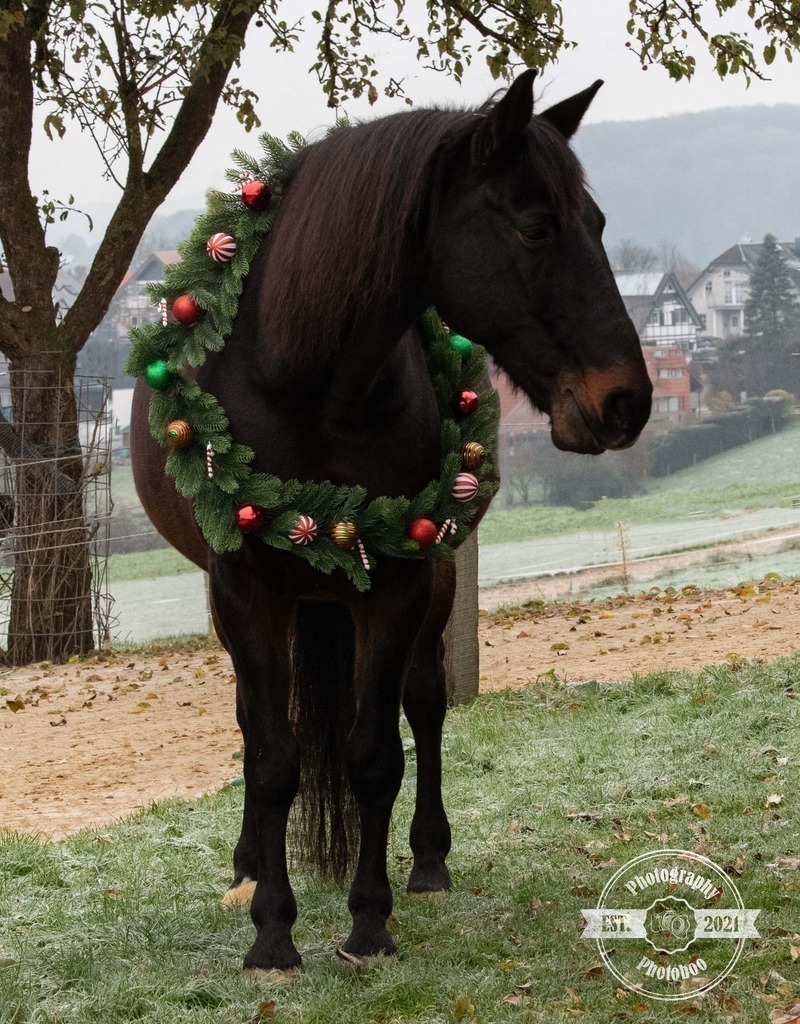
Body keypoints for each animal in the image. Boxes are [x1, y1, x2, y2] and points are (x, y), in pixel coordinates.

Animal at [130, 69, 652, 970]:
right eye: (536, 226)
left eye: (596, 224)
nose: (628, 401)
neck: (297, 369)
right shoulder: (246, 588)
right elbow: (272, 758)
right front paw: (273, 931)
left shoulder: (398, 581)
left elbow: (375, 753)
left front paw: (368, 922)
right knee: (256, 724)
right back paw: (247, 866)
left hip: (427, 583)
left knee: (425, 706)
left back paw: (429, 861)